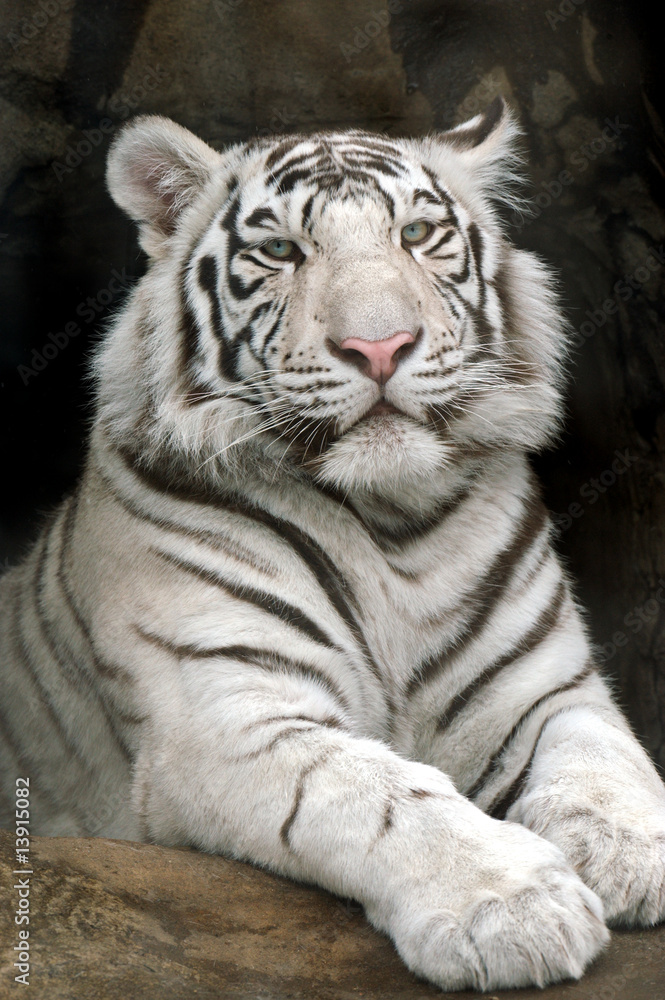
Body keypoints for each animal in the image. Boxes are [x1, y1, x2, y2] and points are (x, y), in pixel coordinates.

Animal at [1, 96, 664, 993]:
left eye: (416, 234)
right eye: (281, 250)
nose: (379, 347)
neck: (391, 526)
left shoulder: (542, 685)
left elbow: (605, 755)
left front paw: (630, 851)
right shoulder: (221, 712)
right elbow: (377, 795)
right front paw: (513, 909)